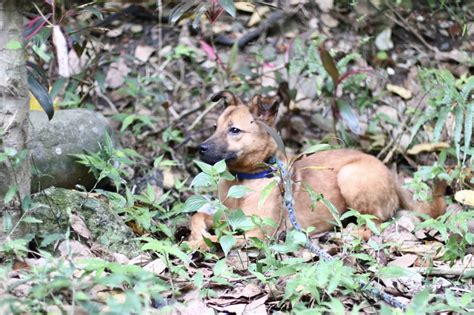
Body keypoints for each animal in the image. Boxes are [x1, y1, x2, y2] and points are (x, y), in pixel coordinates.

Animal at [188, 90, 444, 249]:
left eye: (234, 130)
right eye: (215, 127)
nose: (200, 148)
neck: (244, 180)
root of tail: (392, 176)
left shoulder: (257, 233)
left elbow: (219, 239)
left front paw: (195, 244)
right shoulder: (225, 218)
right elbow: (198, 217)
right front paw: (195, 236)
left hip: (350, 177)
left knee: (376, 223)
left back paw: (346, 234)